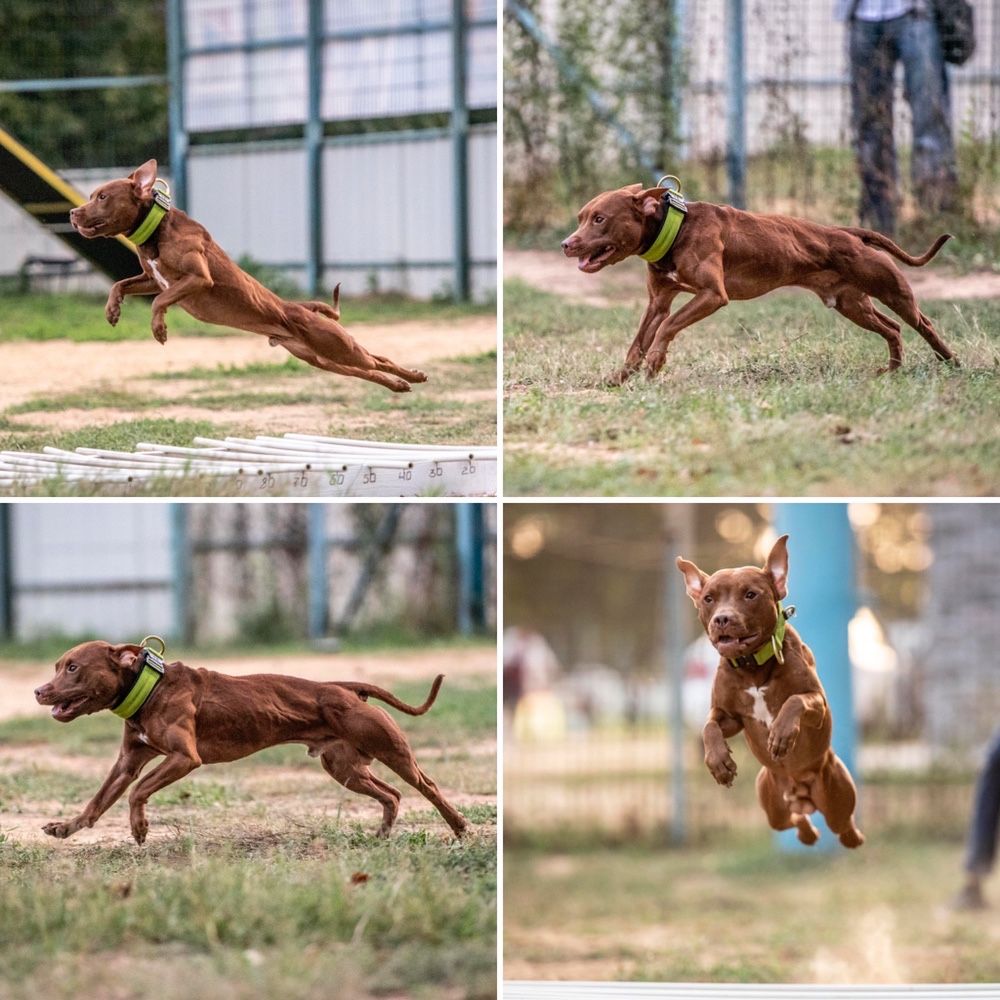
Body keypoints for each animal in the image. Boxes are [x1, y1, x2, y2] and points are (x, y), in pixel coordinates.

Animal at [33, 640, 466, 844]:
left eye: (73, 668)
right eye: (56, 667)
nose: (39, 690)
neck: (149, 687)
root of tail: (344, 687)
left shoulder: (184, 757)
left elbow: (138, 792)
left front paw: (139, 828)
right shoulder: (127, 762)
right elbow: (98, 802)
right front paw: (67, 827)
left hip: (391, 751)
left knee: (427, 786)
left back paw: (460, 827)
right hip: (344, 768)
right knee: (391, 794)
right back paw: (382, 834)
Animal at [68, 160, 428, 390]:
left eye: (102, 196)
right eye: (91, 195)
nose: (72, 212)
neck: (157, 229)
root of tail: (301, 308)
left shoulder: (197, 278)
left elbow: (160, 301)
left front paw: (159, 328)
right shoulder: (151, 279)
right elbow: (120, 284)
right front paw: (112, 311)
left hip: (336, 346)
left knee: (378, 359)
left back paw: (412, 375)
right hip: (322, 359)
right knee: (369, 370)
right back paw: (399, 385)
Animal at [564, 182, 960, 384]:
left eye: (599, 219)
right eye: (581, 217)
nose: (567, 243)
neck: (674, 228)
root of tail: (848, 232)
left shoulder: (711, 295)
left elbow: (667, 329)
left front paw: (656, 363)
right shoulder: (658, 303)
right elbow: (638, 343)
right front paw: (619, 379)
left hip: (891, 290)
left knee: (923, 324)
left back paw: (951, 362)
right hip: (851, 303)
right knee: (892, 329)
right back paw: (891, 371)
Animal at [676, 536, 864, 848]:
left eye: (750, 594)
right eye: (708, 599)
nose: (722, 619)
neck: (752, 665)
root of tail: (801, 794)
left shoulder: (818, 705)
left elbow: (794, 700)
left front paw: (781, 735)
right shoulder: (730, 716)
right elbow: (709, 727)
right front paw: (719, 763)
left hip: (836, 796)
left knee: (844, 827)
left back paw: (852, 836)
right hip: (773, 804)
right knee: (794, 821)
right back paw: (808, 833)